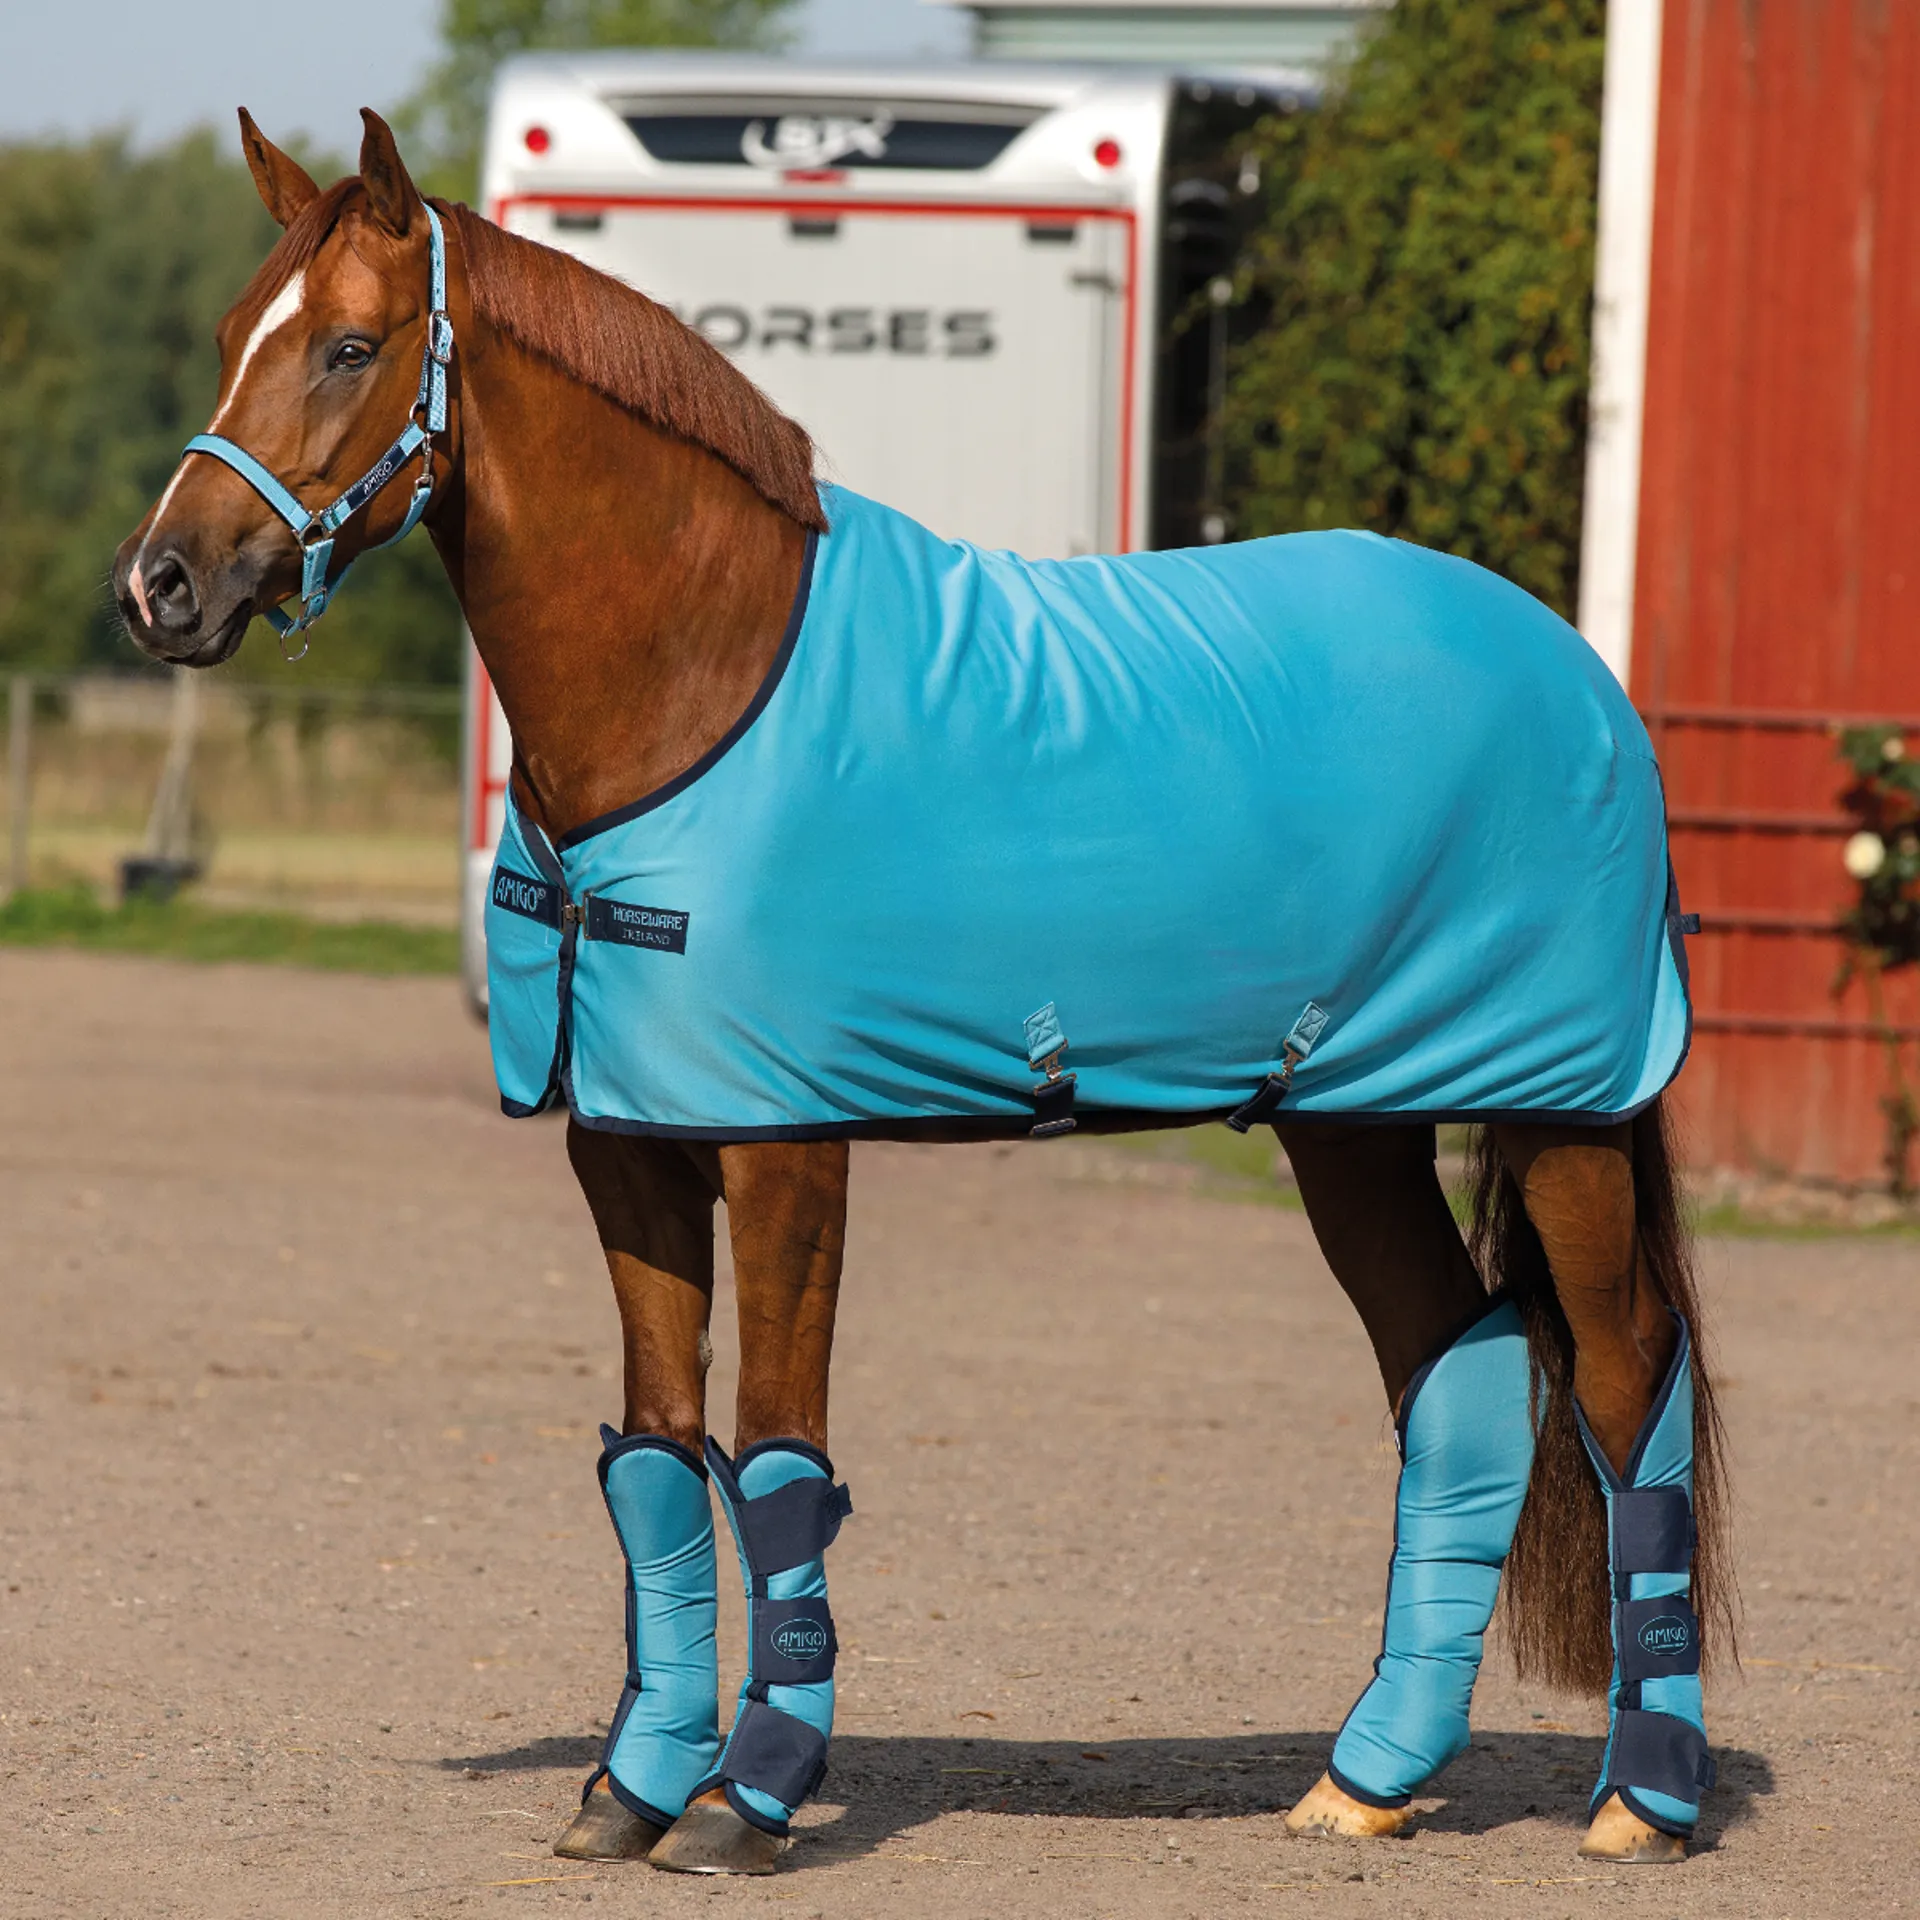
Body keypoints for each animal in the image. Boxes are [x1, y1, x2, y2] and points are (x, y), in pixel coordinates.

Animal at [113, 111, 1731, 1877]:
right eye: (228, 334)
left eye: (349, 346)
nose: (163, 585)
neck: (702, 681)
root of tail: (1573, 670)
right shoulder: (629, 1152)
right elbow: (659, 1460)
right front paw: (632, 1788)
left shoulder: (784, 1149)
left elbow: (775, 1453)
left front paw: (746, 1798)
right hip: (1350, 1122)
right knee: (1457, 1376)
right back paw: (1367, 1780)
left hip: (1559, 1113)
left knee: (1629, 1392)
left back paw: (1643, 1801)